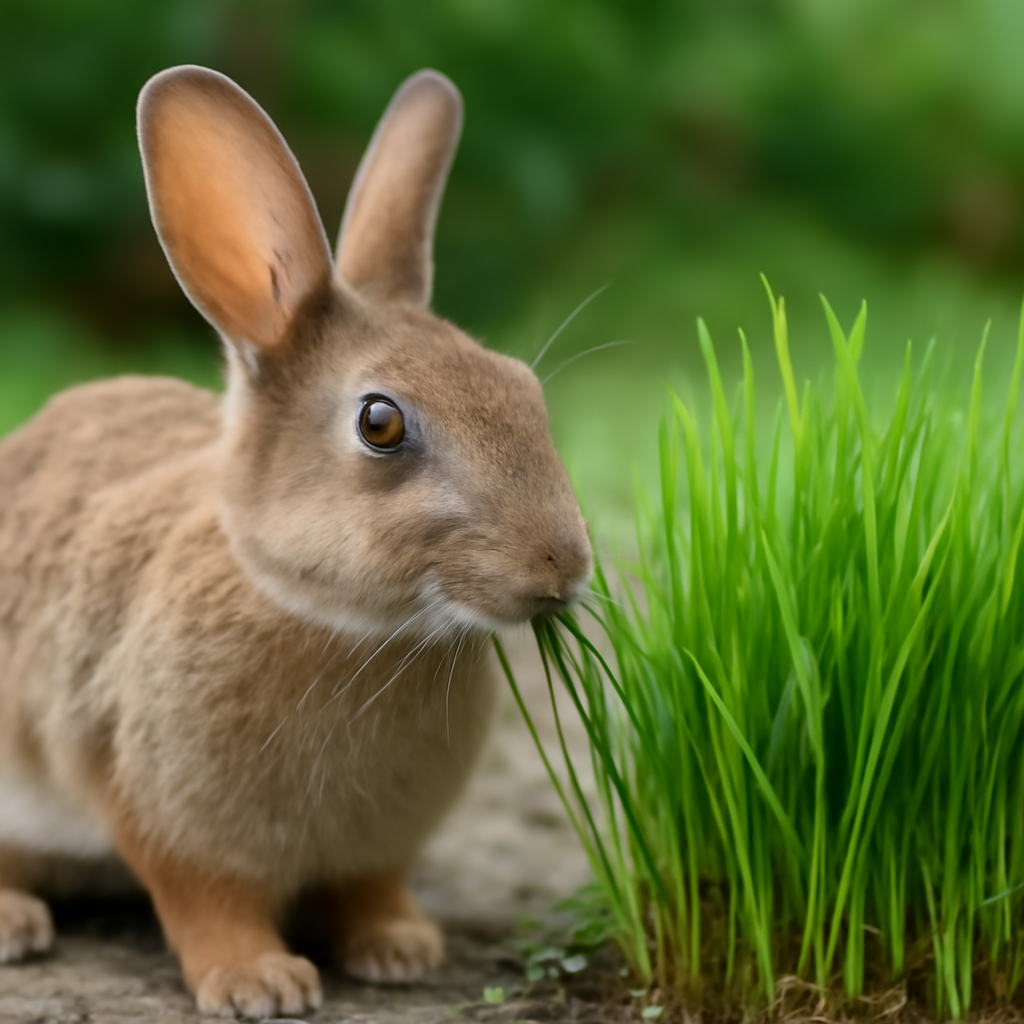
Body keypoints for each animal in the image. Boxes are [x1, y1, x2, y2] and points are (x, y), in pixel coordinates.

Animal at [0, 64, 591, 1018]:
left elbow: (371, 889)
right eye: (380, 423)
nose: (562, 567)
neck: (345, 626)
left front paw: (403, 949)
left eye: (521, 389)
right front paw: (258, 984)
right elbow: (207, 904)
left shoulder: (377, 849)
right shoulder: (165, 814)